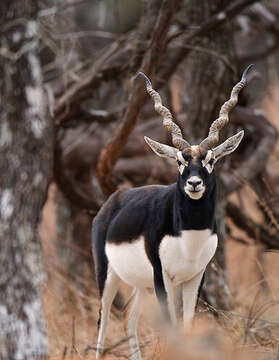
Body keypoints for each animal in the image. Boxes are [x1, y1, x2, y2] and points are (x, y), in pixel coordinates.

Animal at [92, 65, 254, 360]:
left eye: (211, 160)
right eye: (180, 161)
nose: (194, 183)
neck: (189, 235)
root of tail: (114, 200)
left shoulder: (195, 277)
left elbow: (186, 326)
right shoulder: (162, 277)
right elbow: (171, 328)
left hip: (141, 285)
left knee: (128, 319)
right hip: (108, 275)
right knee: (104, 320)